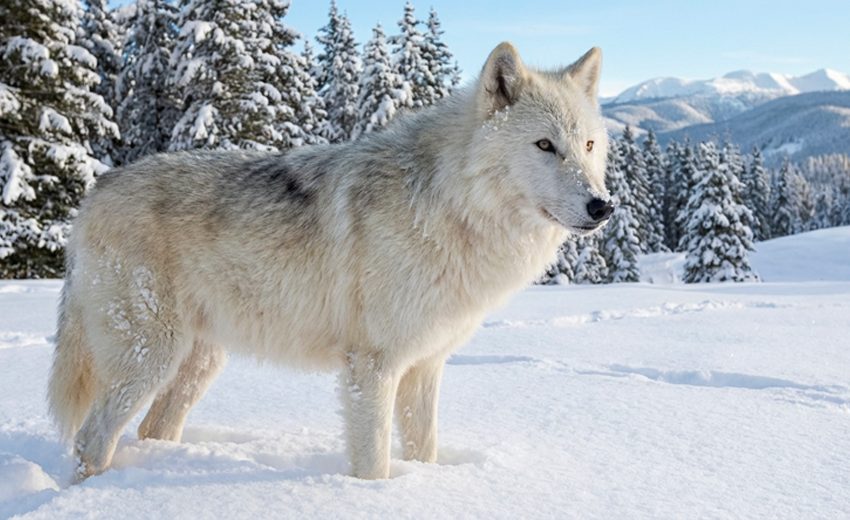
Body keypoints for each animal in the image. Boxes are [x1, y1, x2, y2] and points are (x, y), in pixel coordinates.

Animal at [48, 42, 612, 481]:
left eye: (587, 145)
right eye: (545, 145)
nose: (602, 207)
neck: (447, 207)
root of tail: (97, 190)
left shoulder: (425, 365)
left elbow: (424, 451)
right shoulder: (372, 365)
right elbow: (374, 463)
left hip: (200, 361)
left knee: (152, 429)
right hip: (150, 359)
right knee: (90, 441)